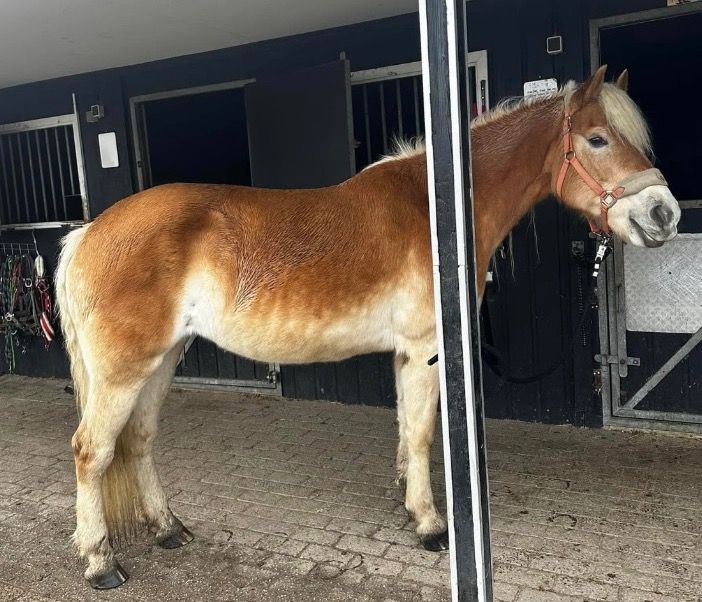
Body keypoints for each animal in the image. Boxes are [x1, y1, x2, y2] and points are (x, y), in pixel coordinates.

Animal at [55, 65, 680, 588]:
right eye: (598, 139)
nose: (664, 214)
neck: (436, 209)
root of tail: (88, 234)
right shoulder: (426, 349)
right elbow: (424, 434)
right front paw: (430, 525)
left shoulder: (408, 354)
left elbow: (407, 430)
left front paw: (408, 499)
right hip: (124, 370)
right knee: (92, 451)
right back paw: (100, 562)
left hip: (164, 358)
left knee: (138, 440)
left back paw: (168, 529)